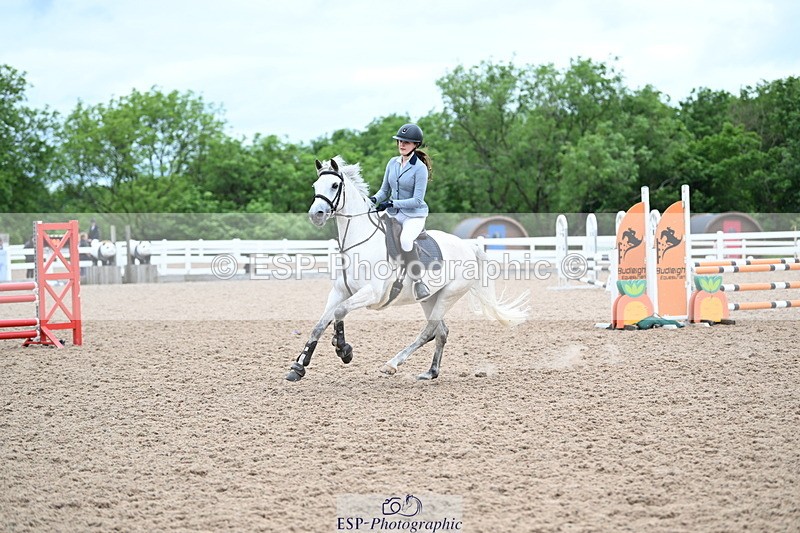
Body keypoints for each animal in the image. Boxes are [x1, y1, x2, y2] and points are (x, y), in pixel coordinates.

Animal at [285, 156, 530, 382]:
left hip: (449, 295)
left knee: (429, 331)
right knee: (440, 332)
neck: (359, 242)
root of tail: (468, 246)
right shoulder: (339, 292)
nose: (316, 215)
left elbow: (339, 312)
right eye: (315, 186)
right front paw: (299, 367)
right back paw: (431, 372)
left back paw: (392, 364)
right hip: (430, 298)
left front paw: (343, 349)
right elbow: (320, 324)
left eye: (335, 185)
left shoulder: (371, 293)